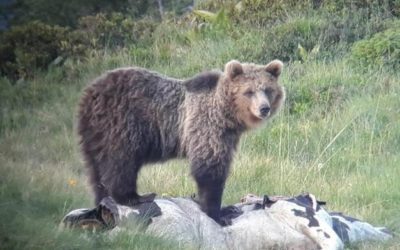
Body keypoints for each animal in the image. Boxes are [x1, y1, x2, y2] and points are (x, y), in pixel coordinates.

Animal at [77, 59, 284, 224]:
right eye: (249, 92)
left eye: (268, 90)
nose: (264, 108)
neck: (227, 115)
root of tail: (89, 94)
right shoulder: (206, 126)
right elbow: (209, 168)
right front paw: (218, 213)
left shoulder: (228, 135)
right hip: (122, 124)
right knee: (121, 162)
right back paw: (134, 197)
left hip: (94, 134)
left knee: (95, 170)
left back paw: (103, 199)